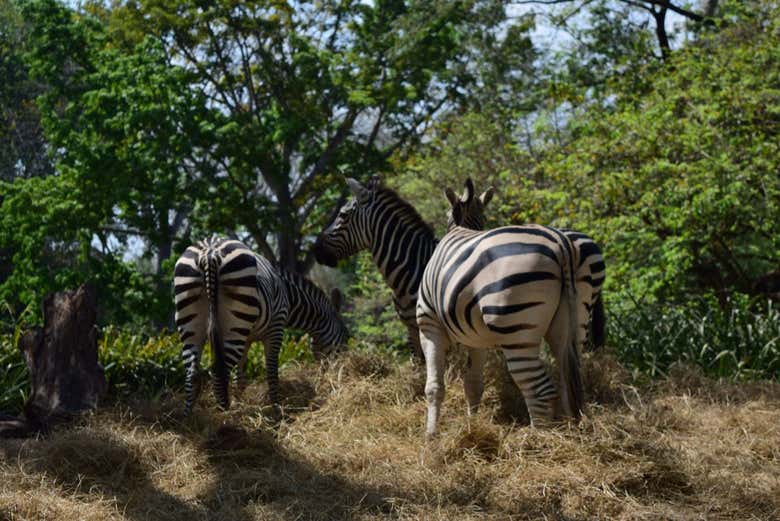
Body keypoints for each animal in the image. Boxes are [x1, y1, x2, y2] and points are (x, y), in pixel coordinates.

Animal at [175, 237, 348, 414]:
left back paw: (190, 416)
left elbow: (239, 375)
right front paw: (276, 410)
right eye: (346, 336)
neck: (289, 296)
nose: (343, 369)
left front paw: (239, 402)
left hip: (192, 321)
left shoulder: (246, 339)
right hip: (234, 324)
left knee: (191, 373)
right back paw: (224, 413)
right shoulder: (276, 328)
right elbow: (271, 372)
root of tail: (210, 253)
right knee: (217, 371)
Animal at [418, 179, 580, 434]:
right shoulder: (476, 337)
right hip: (564, 326)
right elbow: (473, 384)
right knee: (564, 382)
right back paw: (567, 431)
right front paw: (472, 427)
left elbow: (434, 387)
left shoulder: (428, 325)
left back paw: (536, 438)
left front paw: (431, 435)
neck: (461, 227)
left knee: (539, 389)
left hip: (517, 331)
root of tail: (559, 245)